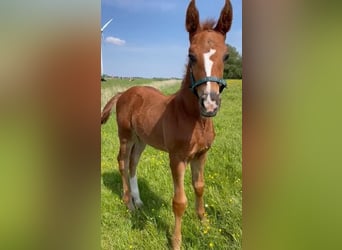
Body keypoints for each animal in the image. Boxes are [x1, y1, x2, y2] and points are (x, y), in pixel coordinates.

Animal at [101, 0, 232, 248]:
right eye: (191, 55)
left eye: (226, 56)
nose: (209, 103)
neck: (194, 119)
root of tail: (124, 93)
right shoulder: (177, 158)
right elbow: (179, 201)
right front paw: (176, 241)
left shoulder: (201, 154)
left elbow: (200, 187)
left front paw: (204, 224)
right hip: (125, 135)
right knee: (122, 161)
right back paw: (128, 203)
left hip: (141, 139)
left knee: (133, 163)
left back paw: (138, 201)